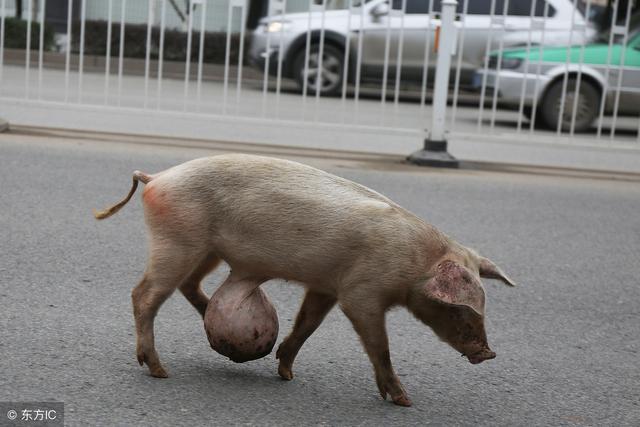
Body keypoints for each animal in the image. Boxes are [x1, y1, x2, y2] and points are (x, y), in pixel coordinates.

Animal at [94, 154, 516, 408]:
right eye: (461, 309)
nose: (489, 353)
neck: (415, 264)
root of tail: (156, 177)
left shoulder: (326, 286)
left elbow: (307, 324)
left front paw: (286, 373)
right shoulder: (361, 293)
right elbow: (379, 346)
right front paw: (404, 401)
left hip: (205, 251)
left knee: (190, 287)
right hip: (177, 242)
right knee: (144, 295)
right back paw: (159, 371)